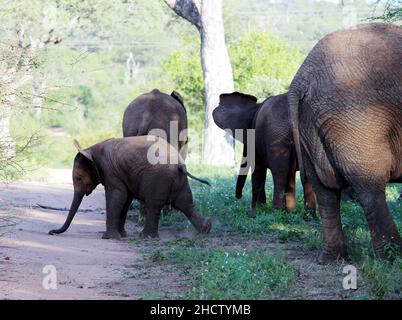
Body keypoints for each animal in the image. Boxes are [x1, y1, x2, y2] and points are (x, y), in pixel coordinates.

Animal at [48, 136, 212, 239]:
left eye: (78, 178)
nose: (51, 232)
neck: (91, 149)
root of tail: (180, 163)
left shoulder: (110, 170)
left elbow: (117, 196)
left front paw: (109, 238)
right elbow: (125, 199)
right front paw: (122, 235)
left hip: (158, 179)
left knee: (154, 205)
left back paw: (146, 237)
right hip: (179, 180)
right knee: (185, 203)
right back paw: (206, 229)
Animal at [288, 23, 402, 264]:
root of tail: (301, 79)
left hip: (309, 124)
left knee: (325, 192)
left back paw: (332, 258)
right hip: (356, 120)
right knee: (370, 188)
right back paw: (392, 258)